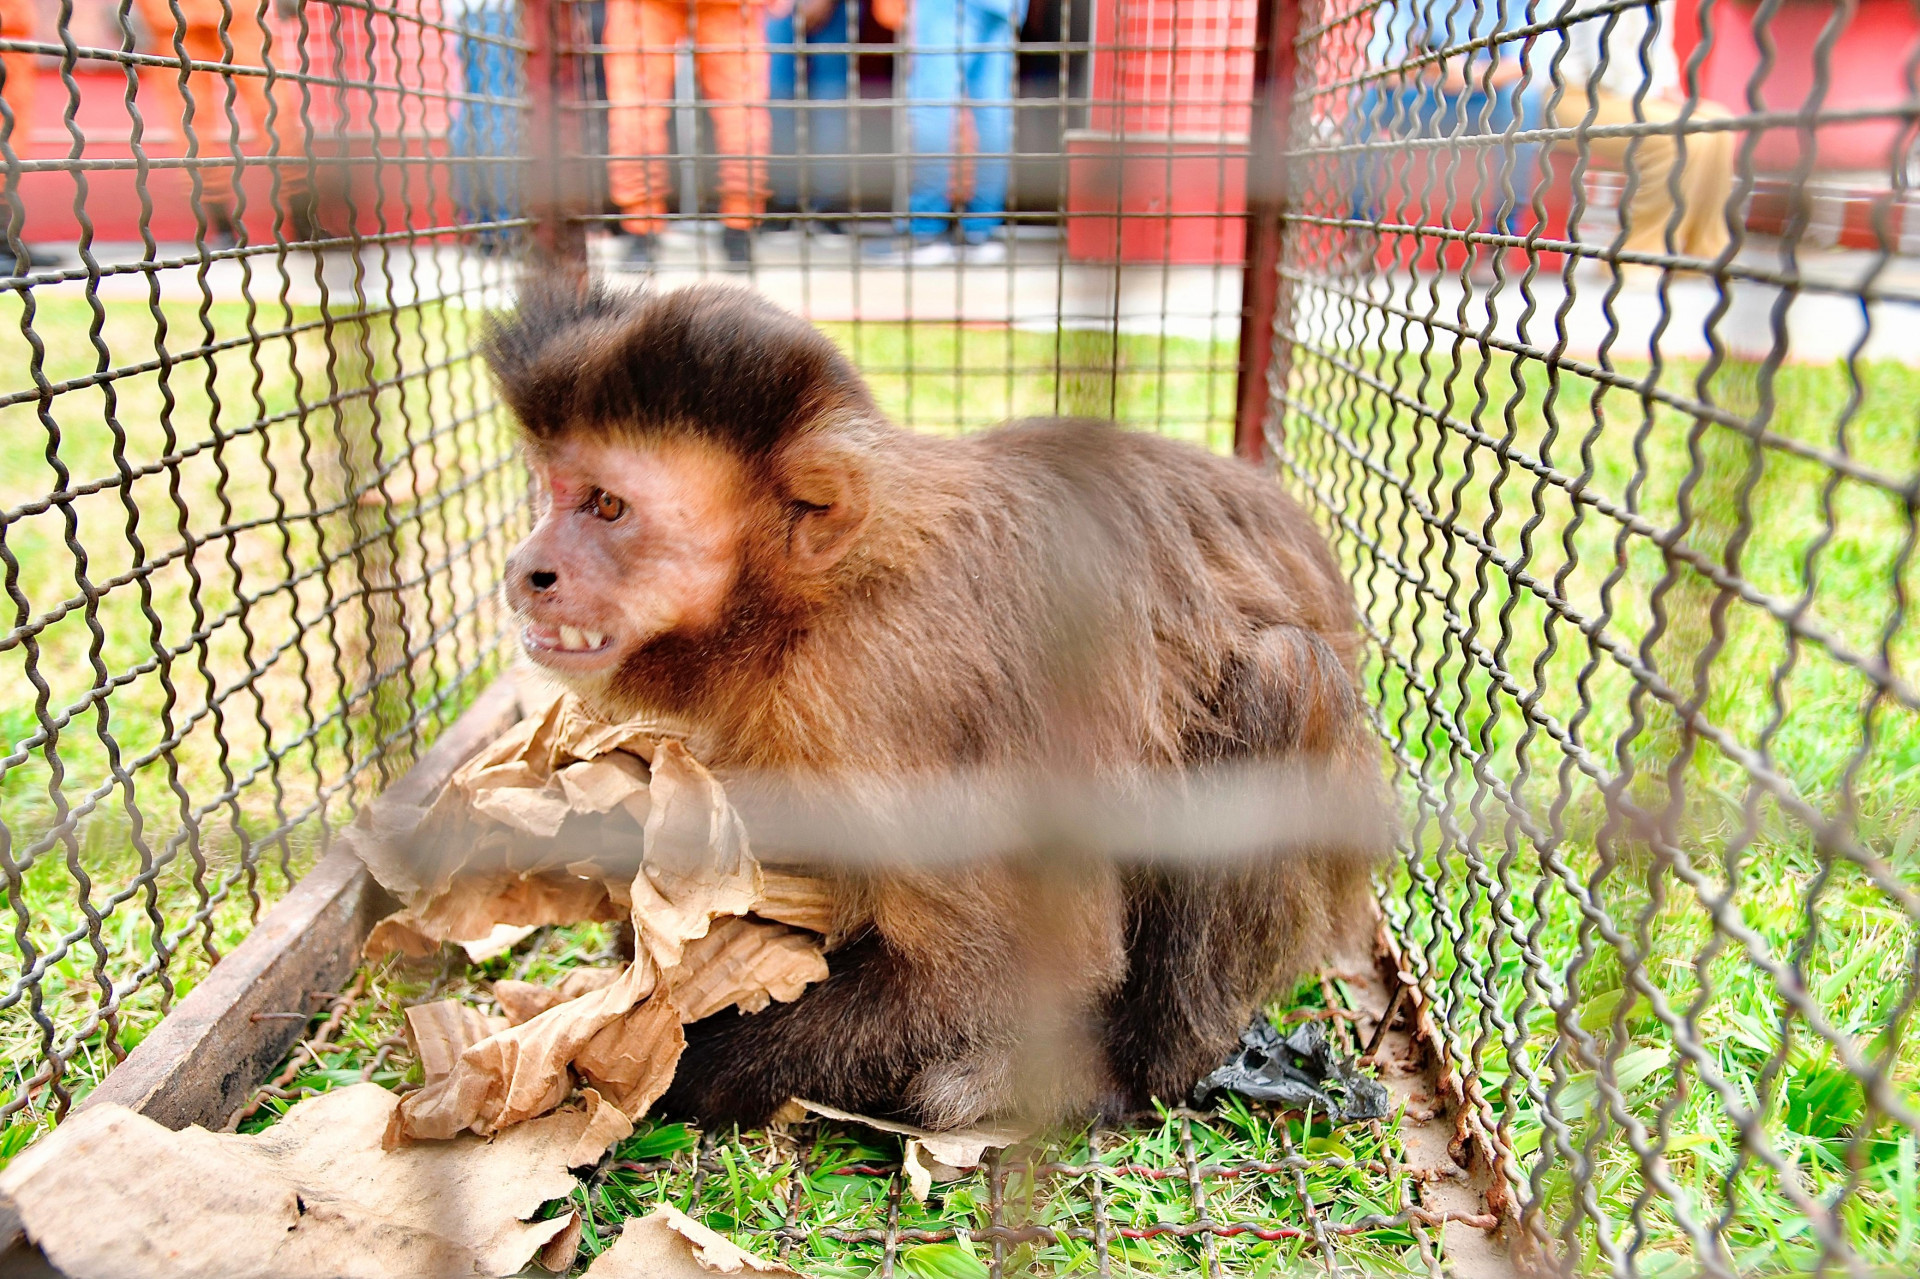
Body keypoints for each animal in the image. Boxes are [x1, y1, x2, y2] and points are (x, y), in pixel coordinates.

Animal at [486, 279, 1388, 1131]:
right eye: (552, 492)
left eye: (606, 506)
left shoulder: (873, 691)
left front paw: (677, 1061)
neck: (814, 601)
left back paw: (1140, 1072)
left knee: (1284, 677)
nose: (524, 566)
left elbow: (1010, 969)